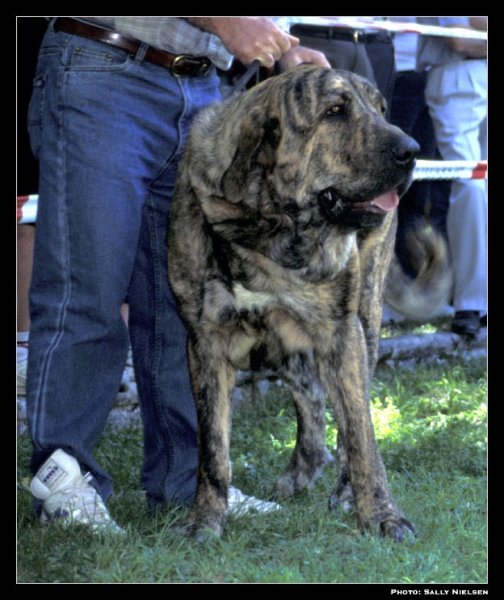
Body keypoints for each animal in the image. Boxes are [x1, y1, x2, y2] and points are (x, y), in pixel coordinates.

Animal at [169, 67, 422, 544]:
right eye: (334, 111)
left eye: (381, 110)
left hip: (365, 319)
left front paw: (383, 516)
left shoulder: (341, 334)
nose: (413, 151)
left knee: (341, 412)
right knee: (311, 401)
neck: (269, 226)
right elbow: (212, 449)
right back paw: (300, 473)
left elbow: (361, 435)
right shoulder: (205, 343)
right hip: (283, 345)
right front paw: (204, 519)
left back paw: (342, 490)